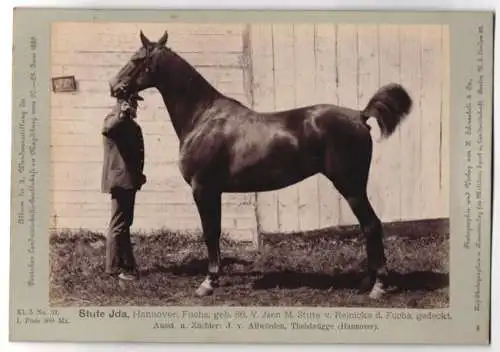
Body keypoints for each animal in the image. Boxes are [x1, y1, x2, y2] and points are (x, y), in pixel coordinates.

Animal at [108, 31, 410, 300]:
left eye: (136, 59)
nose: (113, 85)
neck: (203, 117)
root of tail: (360, 115)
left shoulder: (203, 189)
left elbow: (210, 233)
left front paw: (208, 283)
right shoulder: (214, 191)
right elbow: (215, 232)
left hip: (351, 186)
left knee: (371, 225)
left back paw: (378, 287)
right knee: (368, 226)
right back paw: (367, 281)